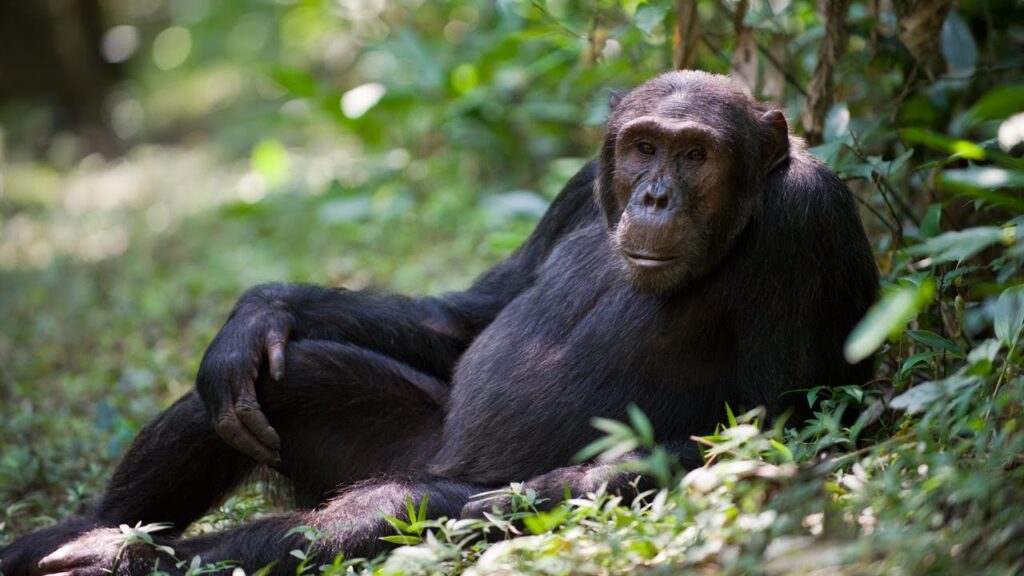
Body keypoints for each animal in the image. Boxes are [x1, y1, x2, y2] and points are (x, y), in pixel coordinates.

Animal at [0, 72, 880, 573]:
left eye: (696, 154)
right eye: (642, 146)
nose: (655, 196)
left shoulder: (805, 225)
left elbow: (780, 424)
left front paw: (546, 488)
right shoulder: (575, 189)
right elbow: (472, 315)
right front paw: (256, 312)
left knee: (370, 512)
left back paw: (121, 558)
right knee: (275, 383)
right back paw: (74, 535)